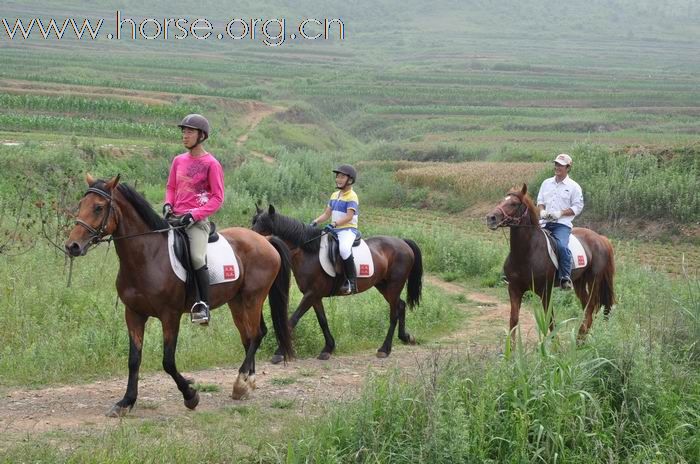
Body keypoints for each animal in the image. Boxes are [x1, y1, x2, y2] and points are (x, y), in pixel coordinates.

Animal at [65, 176, 292, 418]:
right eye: (81, 205)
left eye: (98, 207)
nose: (72, 246)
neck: (147, 256)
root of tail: (265, 239)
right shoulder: (134, 314)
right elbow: (134, 359)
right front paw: (125, 402)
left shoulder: (170, 315)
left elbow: (168, 361)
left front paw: (190, 395)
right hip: (237, 302)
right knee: (249, 337)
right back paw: (248, 383)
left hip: (252, 298)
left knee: (256, 334)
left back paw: (240, 383)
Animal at [253, 205, 424, 360]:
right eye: (254, 222)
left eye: (263, 225)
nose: (251, 240)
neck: (308, 251)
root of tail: (402, 242)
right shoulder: (314, 296)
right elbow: (322, 321)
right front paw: (328, 348)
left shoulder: (311, 294)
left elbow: (291, 321)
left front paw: (279, 352)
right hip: (383, 285)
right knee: (401, 305)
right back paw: (405, 337)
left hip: (394, 285)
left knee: (394, 313)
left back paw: (384, 349)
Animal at [486, 184, 612, 340]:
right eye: (501, 200)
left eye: (514, 203)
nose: (490, 218)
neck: (527, 253)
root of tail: (601, 238)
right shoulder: (514, 289)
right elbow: (513, 320)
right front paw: (512, 347)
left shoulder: (546, 292)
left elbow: (550, 321)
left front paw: (553, 345)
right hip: (579, 282)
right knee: (587, 306)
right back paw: (582, 337)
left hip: (594, 279)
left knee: (591, 306)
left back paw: (580, 338)